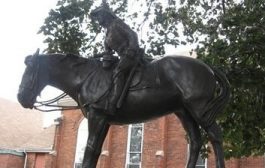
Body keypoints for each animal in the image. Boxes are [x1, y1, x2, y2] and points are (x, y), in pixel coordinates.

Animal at [17, 50, 228, 168]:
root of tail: (209, 69)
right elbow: (96, 151)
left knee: (215, 135)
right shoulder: (104, 121)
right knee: (196, 141)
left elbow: (90, 149)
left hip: (200, 109)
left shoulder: (97, 117)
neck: (85, 76)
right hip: (184, 112)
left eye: (30, 70)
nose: (21, 97)